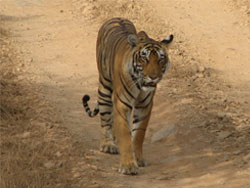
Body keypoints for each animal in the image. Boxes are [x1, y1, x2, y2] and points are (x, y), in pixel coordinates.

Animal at [83, 17, 173, 175]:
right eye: (145, 59)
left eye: (160, 59)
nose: (153, 77)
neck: (140, 84)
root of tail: (116, 17)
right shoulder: (122, 104)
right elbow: (125, 134)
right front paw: (128, 166)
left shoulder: (144, 106)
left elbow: (138, 134)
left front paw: (138, 159)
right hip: (105, 87)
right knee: (106, 118)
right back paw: (108, 144)